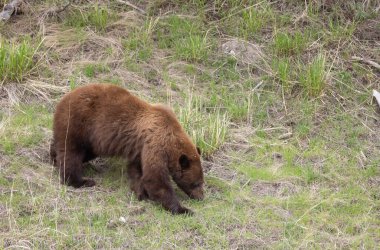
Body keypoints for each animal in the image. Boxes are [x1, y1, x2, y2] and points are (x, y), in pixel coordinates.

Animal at [51, 83, 205, 214]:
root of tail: (62, 100)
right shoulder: (156, 145)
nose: (201, 197)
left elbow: (136, 170)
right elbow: (155, 178)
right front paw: (182, 209)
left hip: (90, 138)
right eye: (196, 183)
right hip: (78, 123)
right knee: (72, 153)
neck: (171, 136)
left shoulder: (140, 148)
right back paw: (80, 181)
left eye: (201, 182)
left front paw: (141, 193)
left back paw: (54, 156)